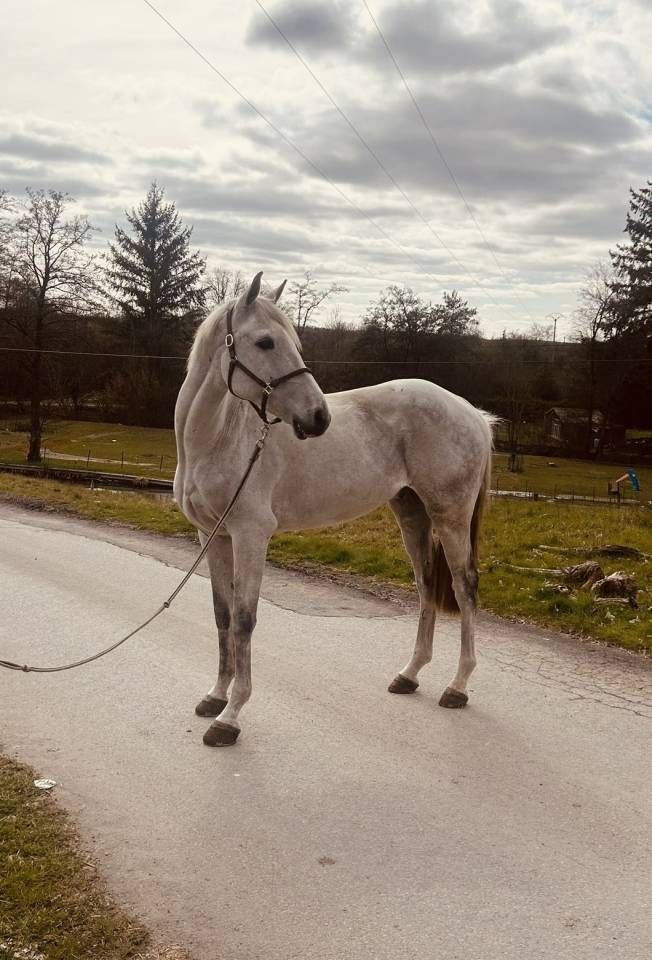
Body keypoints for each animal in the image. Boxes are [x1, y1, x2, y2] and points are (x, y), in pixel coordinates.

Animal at [174, 271, 496, 747]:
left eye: (294, 342)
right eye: (266, 342)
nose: (319, 417)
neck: (218, 438)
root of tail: (473, 413)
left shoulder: (251, 535)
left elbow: (245, 620)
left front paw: (230, 716)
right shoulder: (213, 536)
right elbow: (223, 615)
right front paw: (215, 697)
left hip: (450, 516)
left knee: (463, 586)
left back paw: (457, 687)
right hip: (411, 513)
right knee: (425, 585)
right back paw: (410, 674)